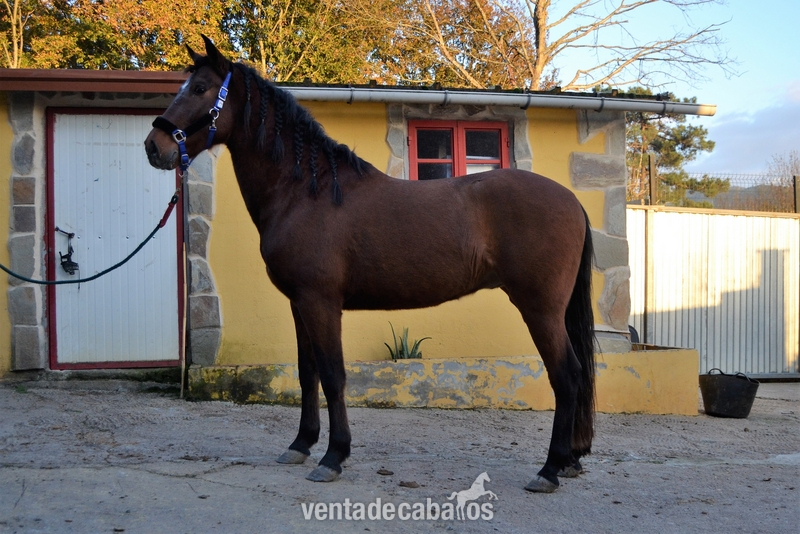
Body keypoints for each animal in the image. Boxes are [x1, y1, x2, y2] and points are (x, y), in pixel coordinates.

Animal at [144, 36, 596, 494]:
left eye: (200, 88)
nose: (153, 146)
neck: (306, 193)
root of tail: (572, 200)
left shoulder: (321, 302)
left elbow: (333, 375)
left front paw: (333, 456)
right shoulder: (299, 304)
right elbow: (307, 373)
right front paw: (301, 444)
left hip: (540, 308)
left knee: (567, 374)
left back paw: (550, 468)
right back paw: (569, 461)